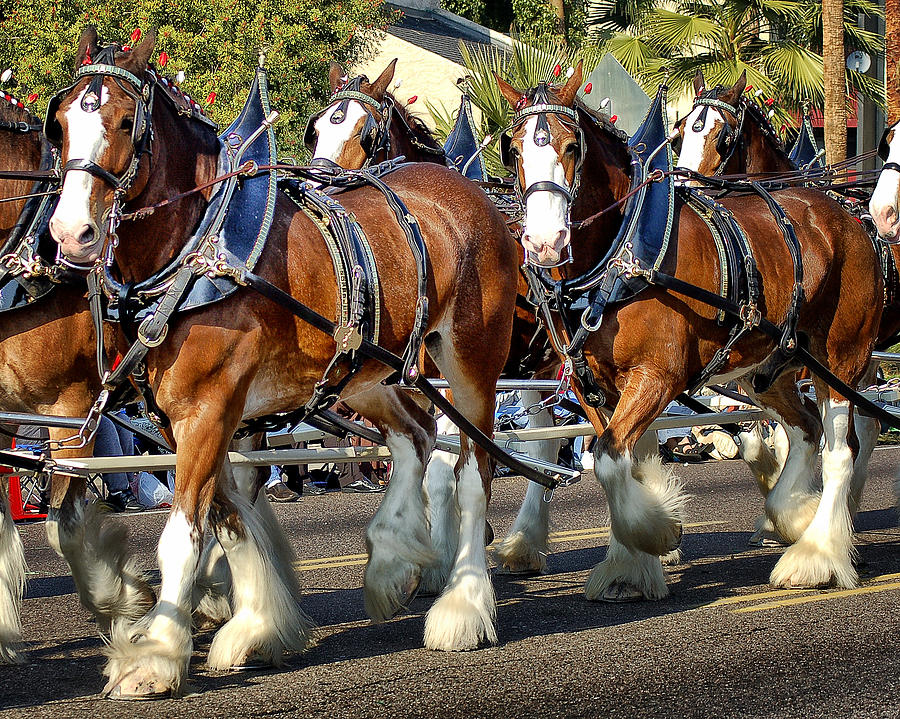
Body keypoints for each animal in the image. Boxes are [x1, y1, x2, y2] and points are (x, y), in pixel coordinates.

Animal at [51, 29, 520, 696]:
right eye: (62, 122)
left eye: (122, 122)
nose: (71, 232)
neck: (203, 247)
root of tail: (466, 191)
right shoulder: (198, 420)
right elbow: (231, 521)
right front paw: (255, 625)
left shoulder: (209, 411)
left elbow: (183, 536)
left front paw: (158, 653)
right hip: (361, 369)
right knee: (416, 435)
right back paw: (390, 557)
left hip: (471, 359)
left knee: (474, 468)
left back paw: (462, 605)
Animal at [500, 67, 884, 604]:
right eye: (513, 150)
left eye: (572, 146)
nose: (542, 242)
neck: (624, 253)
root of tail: (847, 217)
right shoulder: (593, 386)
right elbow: (624, 463)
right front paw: (632, 563)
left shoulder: (657, 377)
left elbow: (609, 461)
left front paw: (655, 534)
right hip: (768, 369)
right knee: (806, 429)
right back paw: (791, 516)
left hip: (841, 361)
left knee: (841, 451)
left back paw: (818, 555)